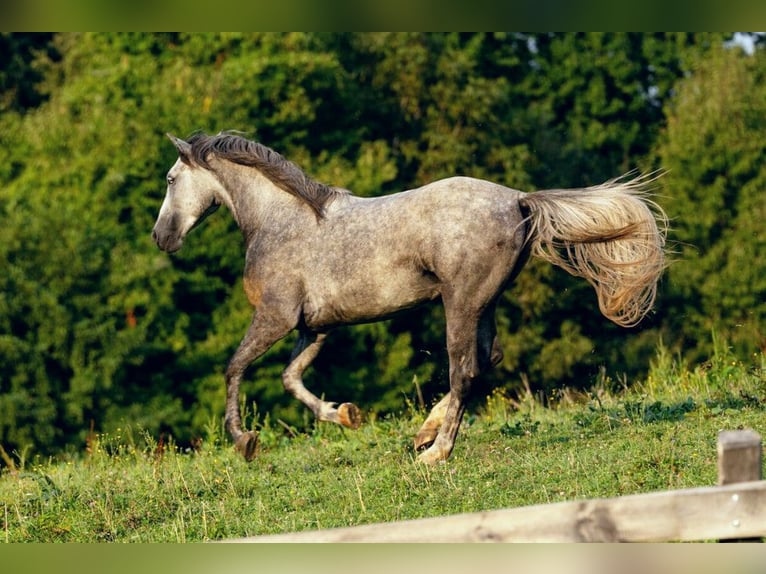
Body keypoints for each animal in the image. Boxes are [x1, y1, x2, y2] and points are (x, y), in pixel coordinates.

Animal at [150, 133, 664, 466]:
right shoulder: (315, 327)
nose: (161, 238)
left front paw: (245, 442)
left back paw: (435, 453)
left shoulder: (275, 317)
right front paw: (345, 415)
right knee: (487, 359)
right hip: (484, 302)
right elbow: (290, 378)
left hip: (460, 302)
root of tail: (518, 199)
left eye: (172, 179)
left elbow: (235, 367)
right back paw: (424, 433)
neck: (280, 221)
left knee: (464, 369)